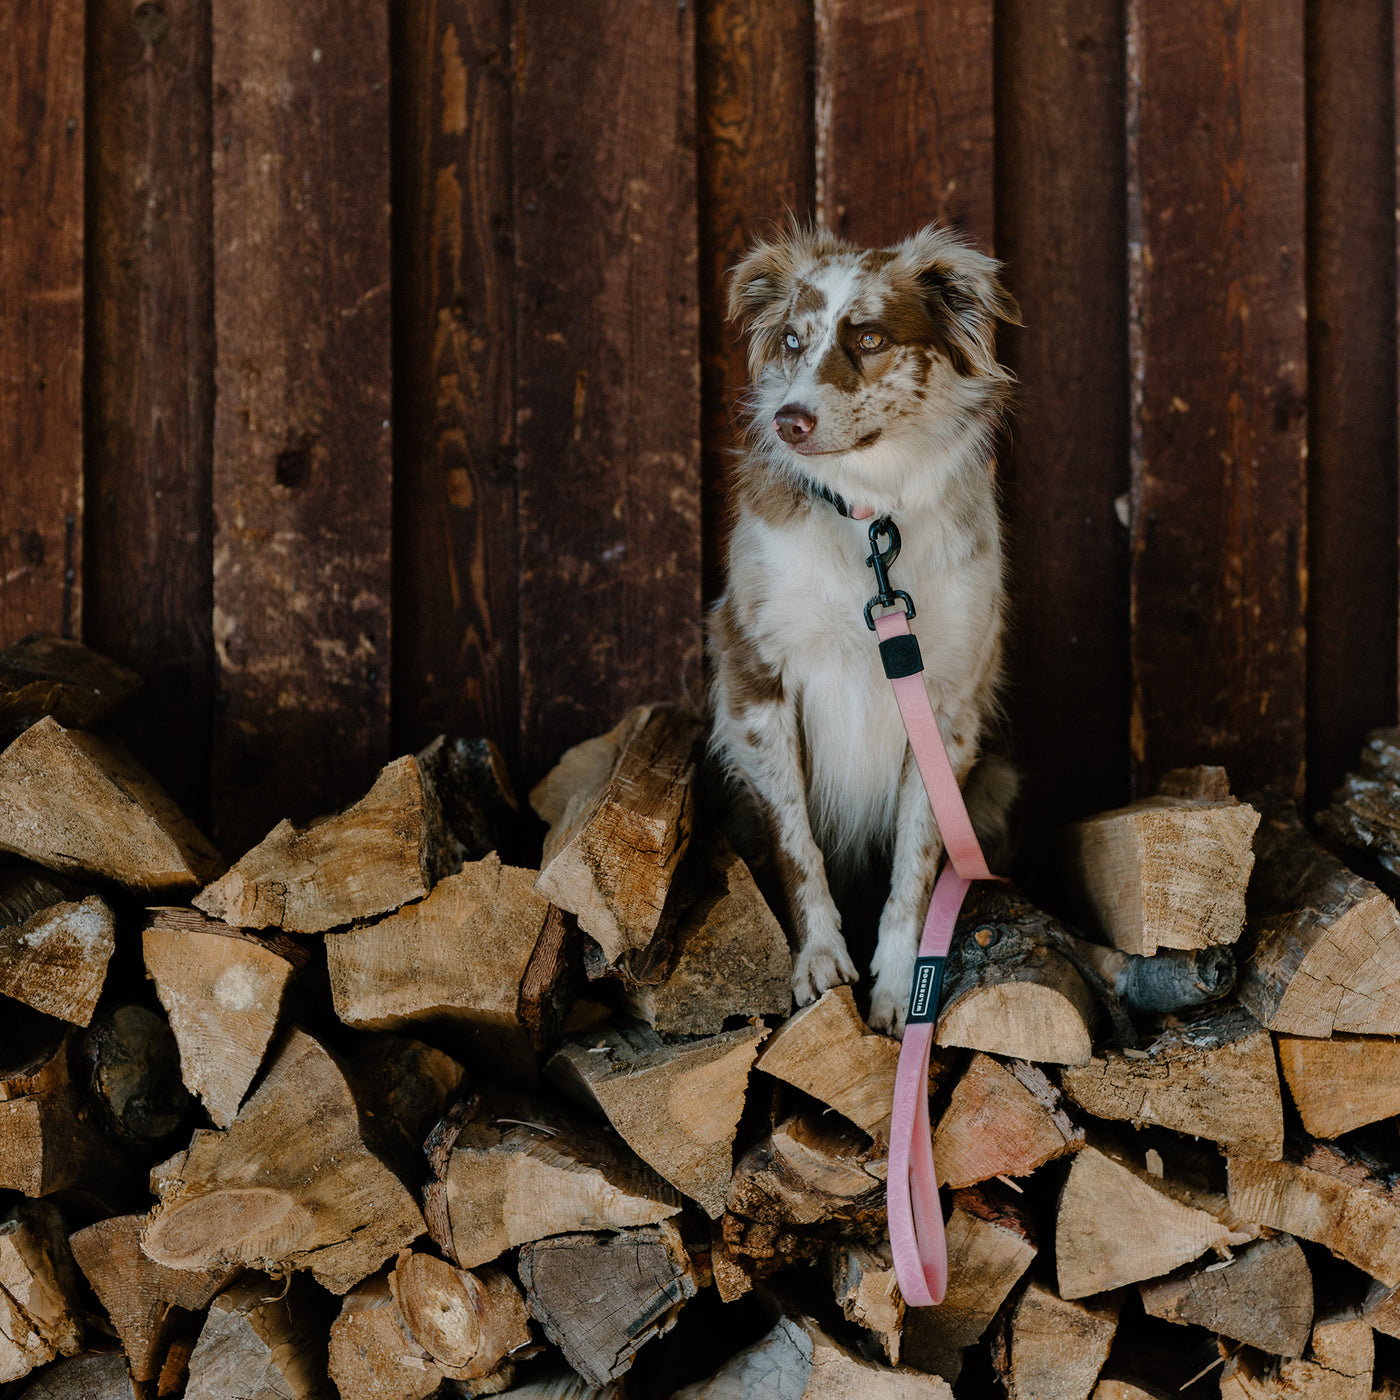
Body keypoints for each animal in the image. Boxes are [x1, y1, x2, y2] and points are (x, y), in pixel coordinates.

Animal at [705, 221, 1024, 1041]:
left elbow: (918, 859)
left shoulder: (947, 705)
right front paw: (819, 959)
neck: (871, 520)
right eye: (792, 340)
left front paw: (900, 985)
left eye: (871, 338)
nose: (788, 419)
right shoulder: (757, 680)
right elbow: (797, 842)